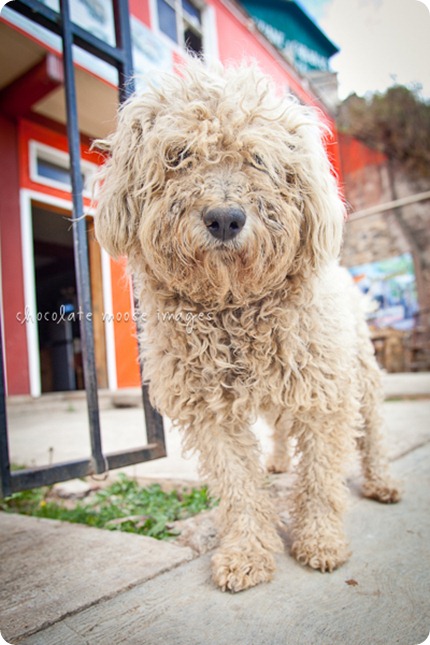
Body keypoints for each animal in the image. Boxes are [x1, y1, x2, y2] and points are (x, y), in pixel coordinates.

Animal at [95, 61, 400, 592]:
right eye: (179, 155)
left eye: (258, 159)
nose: (224, 218)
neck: (235, 312)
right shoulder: (210, 413)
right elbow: (238, 488)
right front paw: (247, 553)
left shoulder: (324, 396)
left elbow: (320, 478)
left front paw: (320, 541)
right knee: (278, 428)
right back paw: (277, 460)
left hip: (360, 371)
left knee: (376, 430)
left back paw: (381, 480)